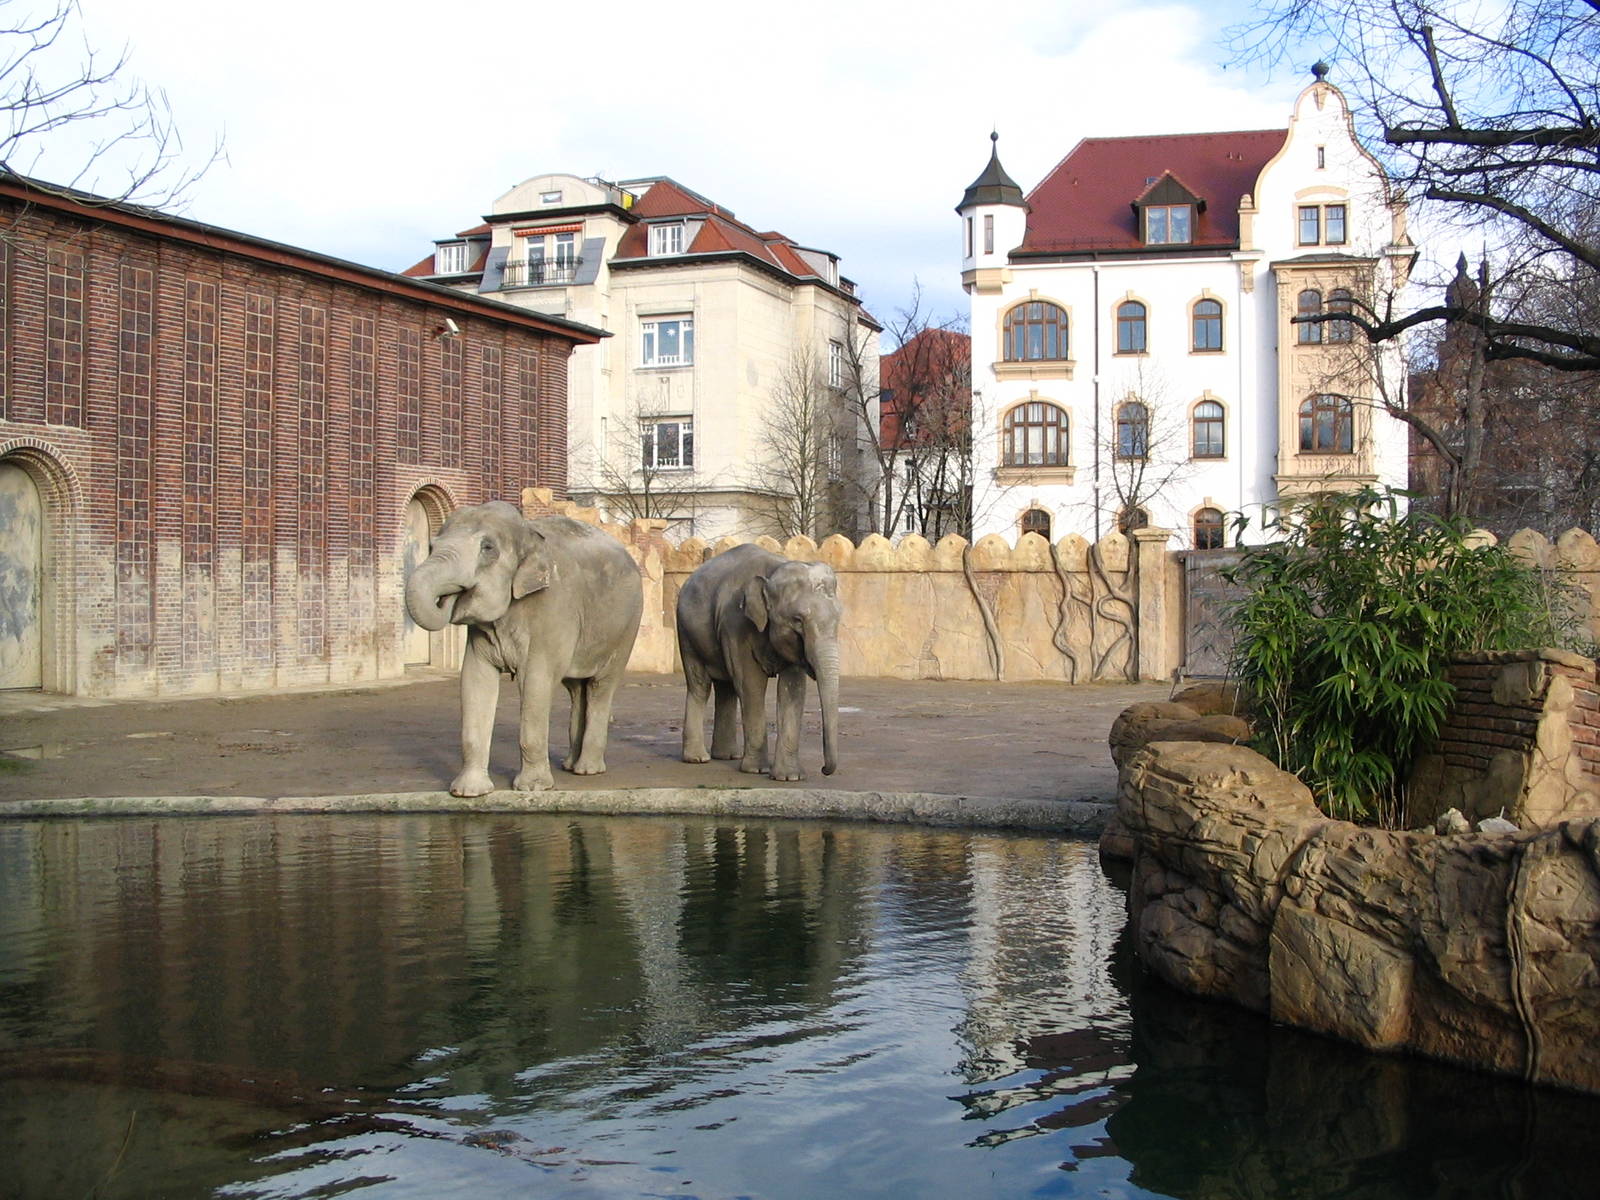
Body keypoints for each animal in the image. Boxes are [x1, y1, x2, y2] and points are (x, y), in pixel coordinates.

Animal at [404, 501, 643, 797]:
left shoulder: (552, 608)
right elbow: (474, 680)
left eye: (487, 548)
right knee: (577, 689)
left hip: (625, 629)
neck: (528, 533)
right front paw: (468, 792)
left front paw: (532, 788)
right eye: (431, 546)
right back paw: (569, 765)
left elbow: (535, 682)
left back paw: (587, 769)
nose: (449, 596)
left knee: (601, 686)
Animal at [675, 543, 841, 781]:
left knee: (726, 689)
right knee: (700, 685)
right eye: (798, 620)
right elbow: (751, 684)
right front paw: (757, 770)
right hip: (686, 632)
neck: (774, 571)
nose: (824, 769)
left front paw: (789, 777)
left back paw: (727, 756)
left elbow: (792, 689)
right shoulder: (735, 623)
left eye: (838, 619)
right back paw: (698, 759)